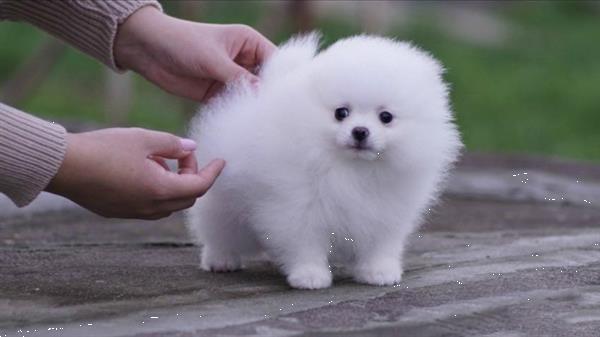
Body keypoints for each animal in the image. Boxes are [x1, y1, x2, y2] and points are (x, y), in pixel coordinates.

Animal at [189, 32, 464, 288]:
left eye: (386, 117)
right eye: (341, 113)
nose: (360, 131)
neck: (353, 169)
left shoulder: (386, 212)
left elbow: (379, 245)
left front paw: (378, 272)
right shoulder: (296, 207)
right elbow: (305, 244)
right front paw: (309, 275)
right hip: (226, 204)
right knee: (219, 231)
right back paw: (221, 259)